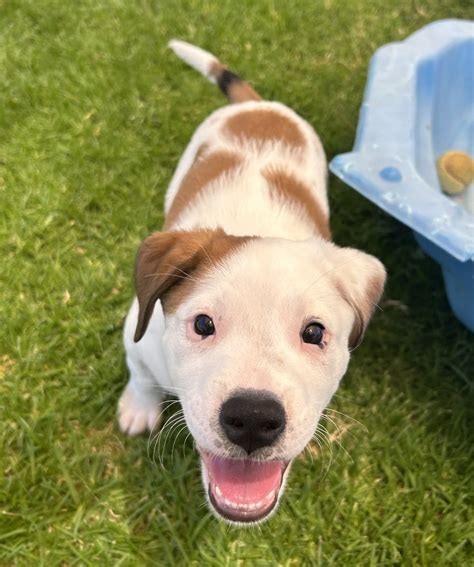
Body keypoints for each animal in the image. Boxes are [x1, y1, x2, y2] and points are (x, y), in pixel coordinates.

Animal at [117, 41, 386, 528]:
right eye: (203, 325)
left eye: (314, 332)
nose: (254, 419)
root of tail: (259, 104)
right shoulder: (136, 331)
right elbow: (140, 372)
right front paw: (138, 406)